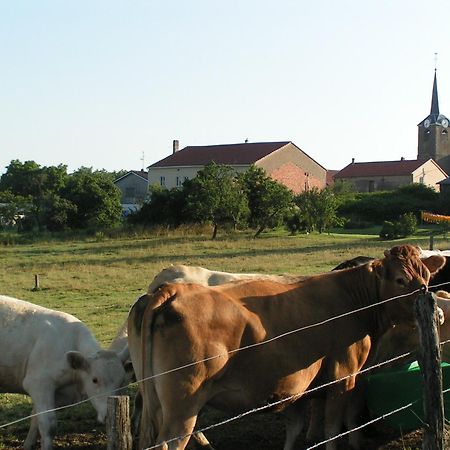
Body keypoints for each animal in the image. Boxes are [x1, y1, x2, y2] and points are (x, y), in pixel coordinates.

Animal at [0, 296, 130, 450]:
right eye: (94, 380)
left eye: (121, 381)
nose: (108, 416)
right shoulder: (38, 384)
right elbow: (48, 426)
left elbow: (35, 419)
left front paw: (27, 445)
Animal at [127, 246, 446, 450]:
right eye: (400, 279)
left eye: (426, 277)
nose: (439, 313)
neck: (352, 298)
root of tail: (170, 290)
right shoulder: (343, 375)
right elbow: (334, 429)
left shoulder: (302, 386)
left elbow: (298, 428)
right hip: (182, 409)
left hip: (157, 401)